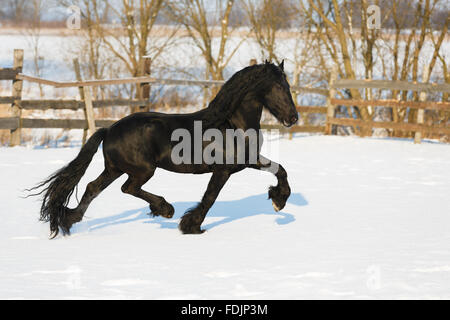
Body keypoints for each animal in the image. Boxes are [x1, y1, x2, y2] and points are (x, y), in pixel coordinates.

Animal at [31, 61, 298, 239]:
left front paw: (279, 201)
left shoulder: (246, 161)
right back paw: (165, 209)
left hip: (115, 169)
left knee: (91, 188)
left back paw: (69, 221)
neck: (230, 124)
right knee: (128, 188)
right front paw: (191, 225)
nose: (293, 118)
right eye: (279, 86)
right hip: (142, 170)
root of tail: (109, 130)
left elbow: (281, 170)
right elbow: (210, 197)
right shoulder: (222, 170)